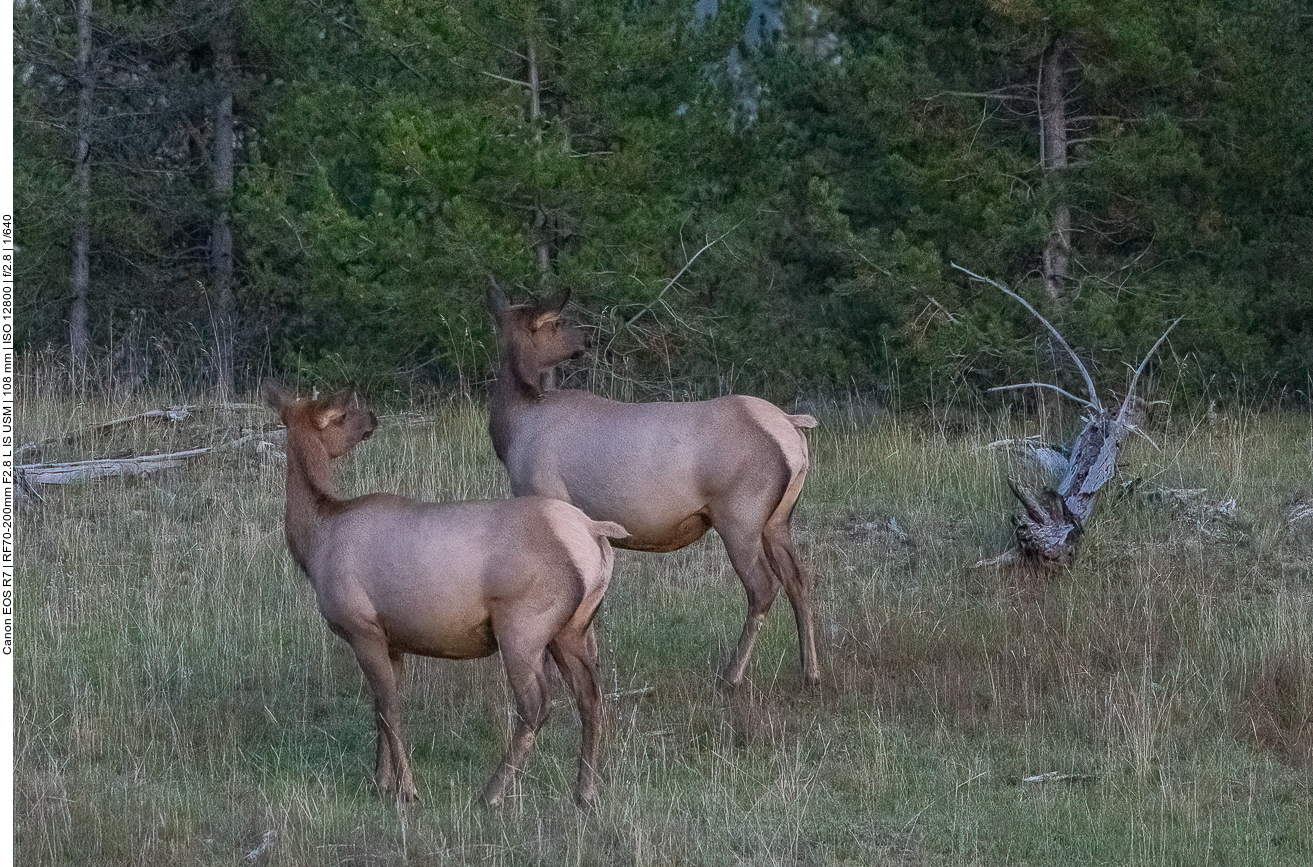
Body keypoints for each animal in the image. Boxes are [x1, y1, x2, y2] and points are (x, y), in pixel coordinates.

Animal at [265, 378, 624, 803]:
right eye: (342, 414)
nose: (371, 416)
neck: (316, 541)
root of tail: (594, 532)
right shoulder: (391, 638)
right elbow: (381, 709)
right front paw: (381, 780)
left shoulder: (361, 626)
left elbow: (389, 709)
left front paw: (406, 788)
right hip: (573, 628)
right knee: (591, 696)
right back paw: (585, 790)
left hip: (523, 624)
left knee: (536, 703)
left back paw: (493, 792)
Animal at [488, 287, 819, 688]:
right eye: (558, 322)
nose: (587, 338)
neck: (512, 430)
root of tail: (791, 424)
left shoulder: (546, 498)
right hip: (778, 519)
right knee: (798, 579)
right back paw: (810, 671)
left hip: (741, 516)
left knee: (763, 586)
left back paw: (731, 675)